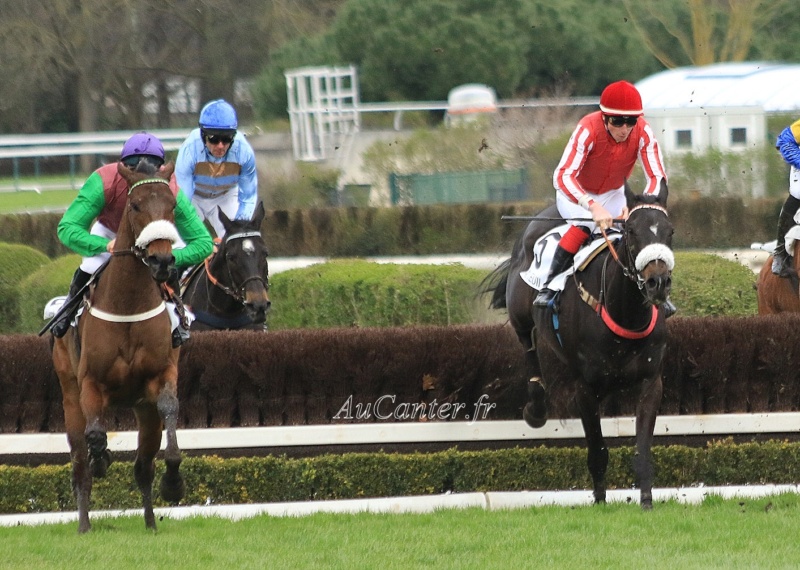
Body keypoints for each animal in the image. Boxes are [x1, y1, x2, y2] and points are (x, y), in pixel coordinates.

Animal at [51, 161, 186, 532]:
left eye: (172, 205)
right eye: (135, 205)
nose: (162, 261)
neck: (128, 306)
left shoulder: (160, 375)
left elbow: (170, 412)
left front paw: (174, 484)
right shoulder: (90, 384)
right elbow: (95, 436)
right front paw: (101, 460)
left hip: (142, 411)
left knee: (143, 467)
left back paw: (151, 523)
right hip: (69, 396)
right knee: (80, 463)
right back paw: (84, 524)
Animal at [482, 184, 676, 508]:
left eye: (669, 231)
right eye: (632, 230)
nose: (657, 282)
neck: (623, 314)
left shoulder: (652, 382)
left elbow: (643, 448)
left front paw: (647, 500)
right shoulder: (585, 388)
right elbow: (597, 449)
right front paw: (599, 500)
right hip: (520, 313)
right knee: (528, 346)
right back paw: (536, 408)